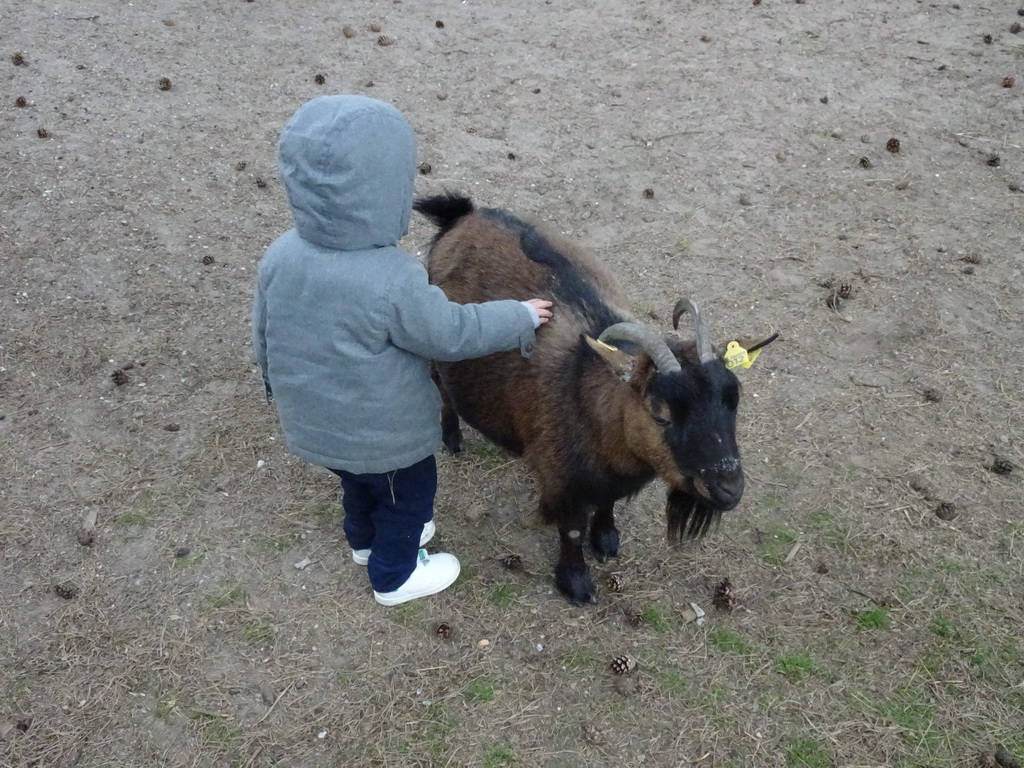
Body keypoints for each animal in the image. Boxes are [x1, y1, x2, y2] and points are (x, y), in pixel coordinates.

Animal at [411, 193, 770, 606]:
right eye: (660, 413)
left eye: (733, 401)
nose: (729, 489)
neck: (588, 396)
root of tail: (464, 215)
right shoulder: (562, 479)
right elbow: (571, 531)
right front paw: (576, 583)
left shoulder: (609, 476)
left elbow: (607, 504)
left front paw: (607, 540)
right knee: (440, 386)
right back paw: (452, 438)